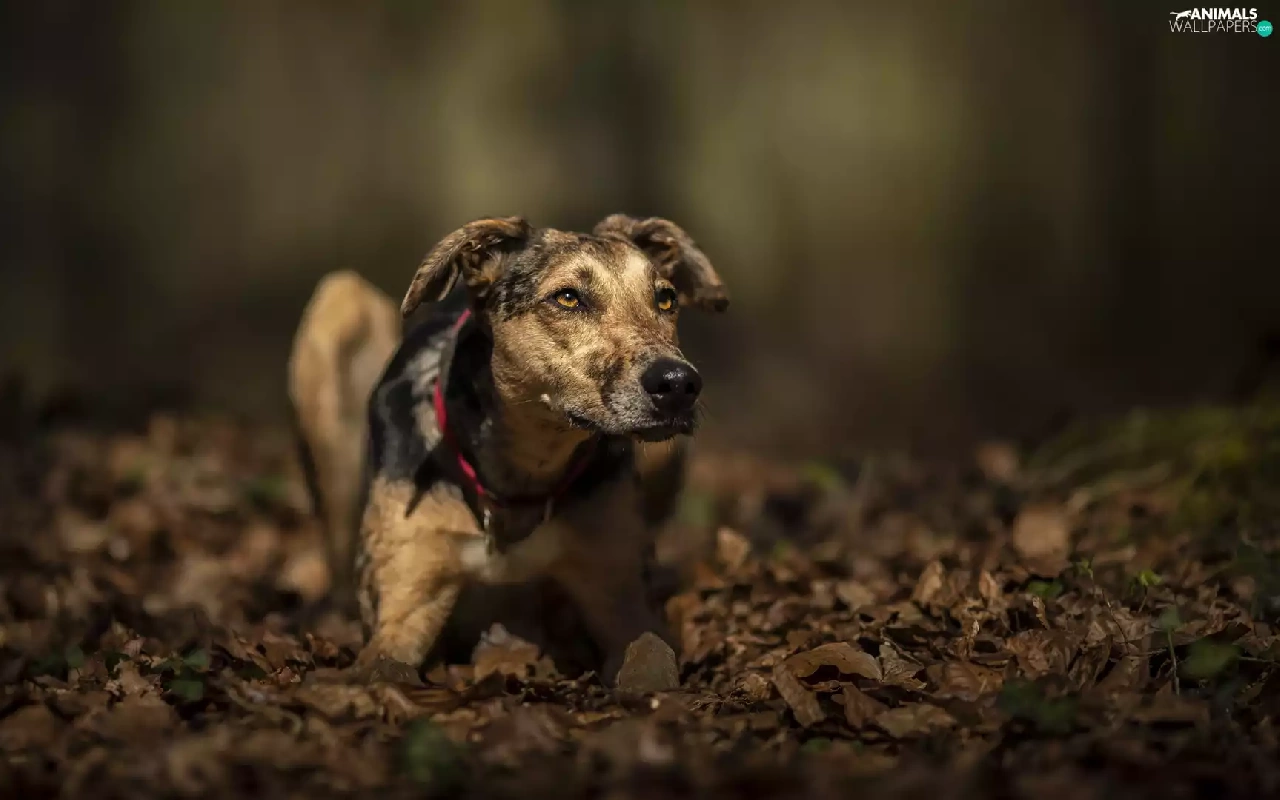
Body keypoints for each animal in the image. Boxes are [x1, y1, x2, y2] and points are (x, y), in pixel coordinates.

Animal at [288, 215, 728, 683]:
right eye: (567, 297)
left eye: (666, 299)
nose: (679, 384)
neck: (525, 469)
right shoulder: (403, 610)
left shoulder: (621, 597)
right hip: (338, 307)